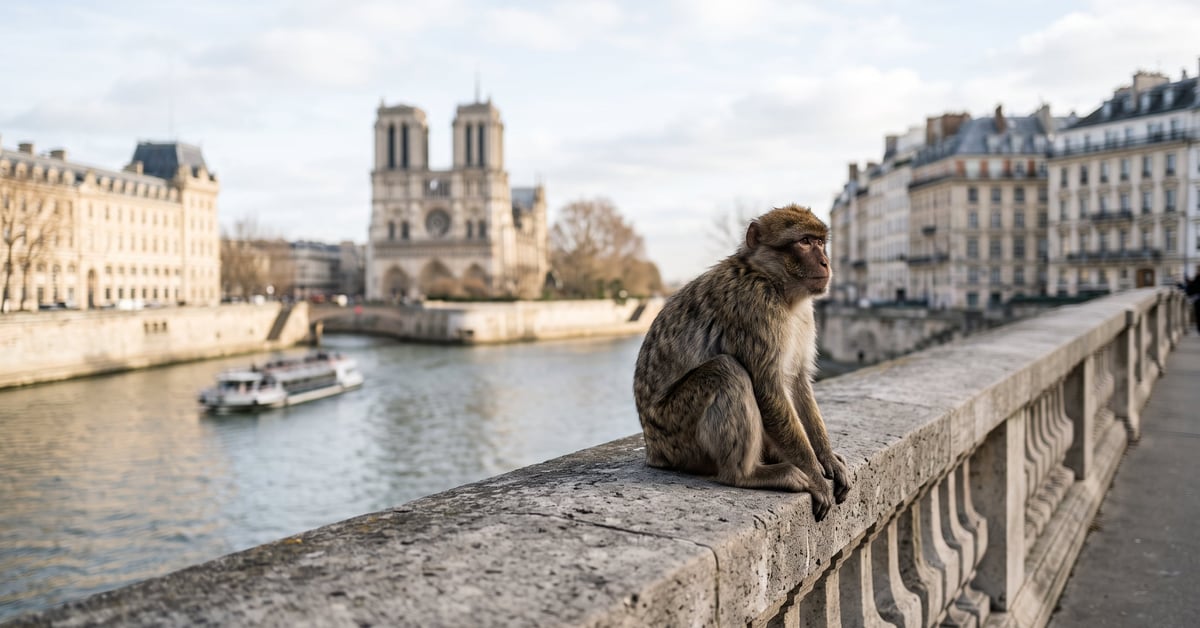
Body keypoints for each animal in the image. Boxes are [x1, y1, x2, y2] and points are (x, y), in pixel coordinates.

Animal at [632, 204, 851, 521]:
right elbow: (768, 389)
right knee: (727, 370)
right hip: (676, 433)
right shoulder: (756, 308)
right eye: (804, 242)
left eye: (820, 242)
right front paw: (815, 475)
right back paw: (747, 475)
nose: (825, 261)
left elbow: (798, 381)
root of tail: (653, 449)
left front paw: (827, 459)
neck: (773, 283)